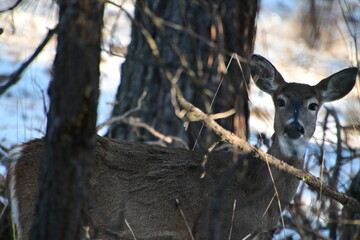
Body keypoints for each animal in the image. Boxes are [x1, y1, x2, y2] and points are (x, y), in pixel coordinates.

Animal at [4, 54, 358, 240]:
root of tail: (17, 156)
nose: (294, 128)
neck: (260, 193)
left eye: (313, 105)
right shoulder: (213, 230)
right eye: (280, 101)